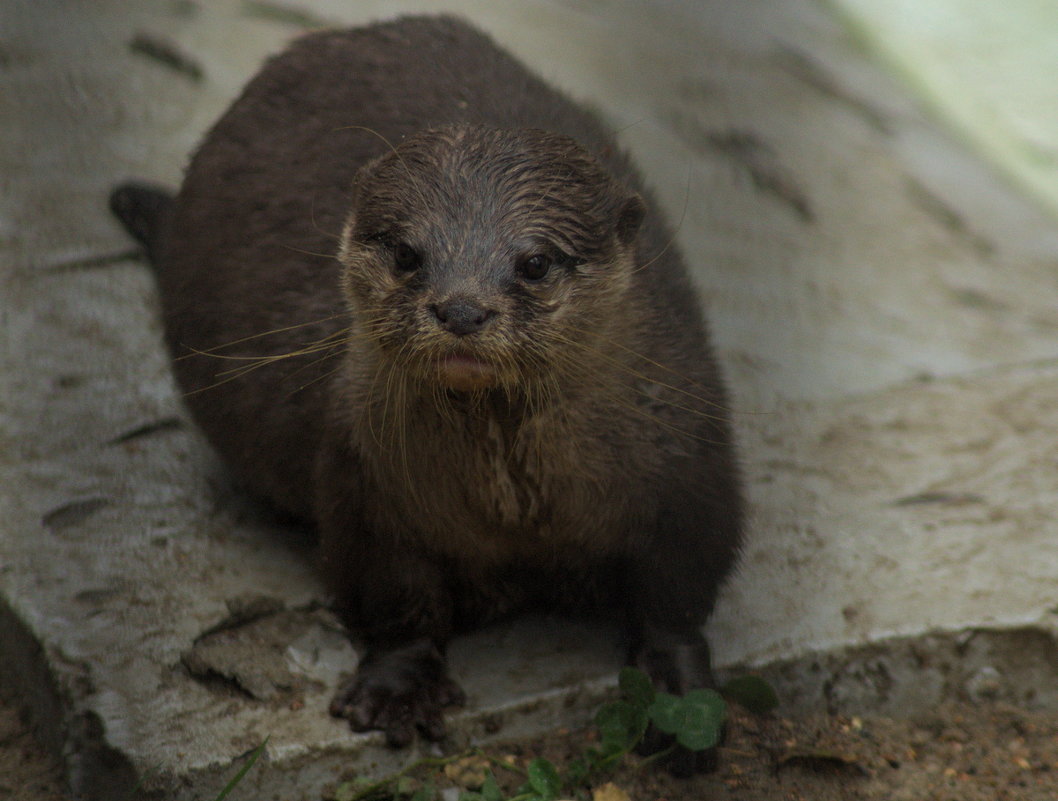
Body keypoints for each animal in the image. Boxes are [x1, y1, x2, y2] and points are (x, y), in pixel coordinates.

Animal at [111, 15, 744, 770]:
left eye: (535, 262)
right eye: (408, 253)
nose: (462, 308)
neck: (517, 508)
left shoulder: (688, 463)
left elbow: (678, 590)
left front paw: (678, 692)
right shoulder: (366, 481)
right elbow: (391, 595)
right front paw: (397, 688)